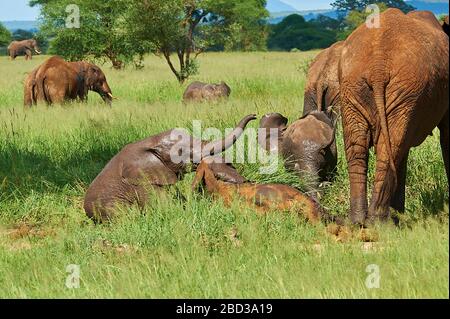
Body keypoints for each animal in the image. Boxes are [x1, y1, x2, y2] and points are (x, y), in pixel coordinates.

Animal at [340, 9, 448, 225]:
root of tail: (378, 66)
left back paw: (359, 221)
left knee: (358, 148)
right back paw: (381, 223)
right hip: (405, 88)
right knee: (390, 147)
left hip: (353, 85)